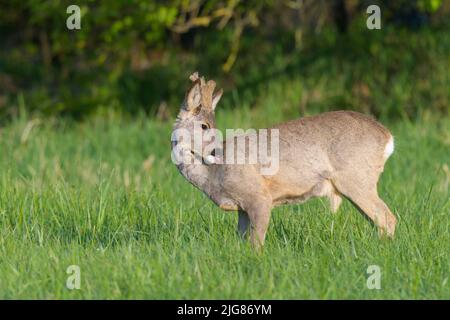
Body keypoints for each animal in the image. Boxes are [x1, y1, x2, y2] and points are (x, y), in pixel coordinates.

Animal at [171, 72, 396, 248]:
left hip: (357, 179)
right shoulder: (242, 209)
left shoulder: (259, 197)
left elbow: (256, 243)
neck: (213, 176)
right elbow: (242, 241)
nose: (217, 151)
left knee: (388, 218)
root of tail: (387, 137)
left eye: (213, 126)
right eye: (204, 125)